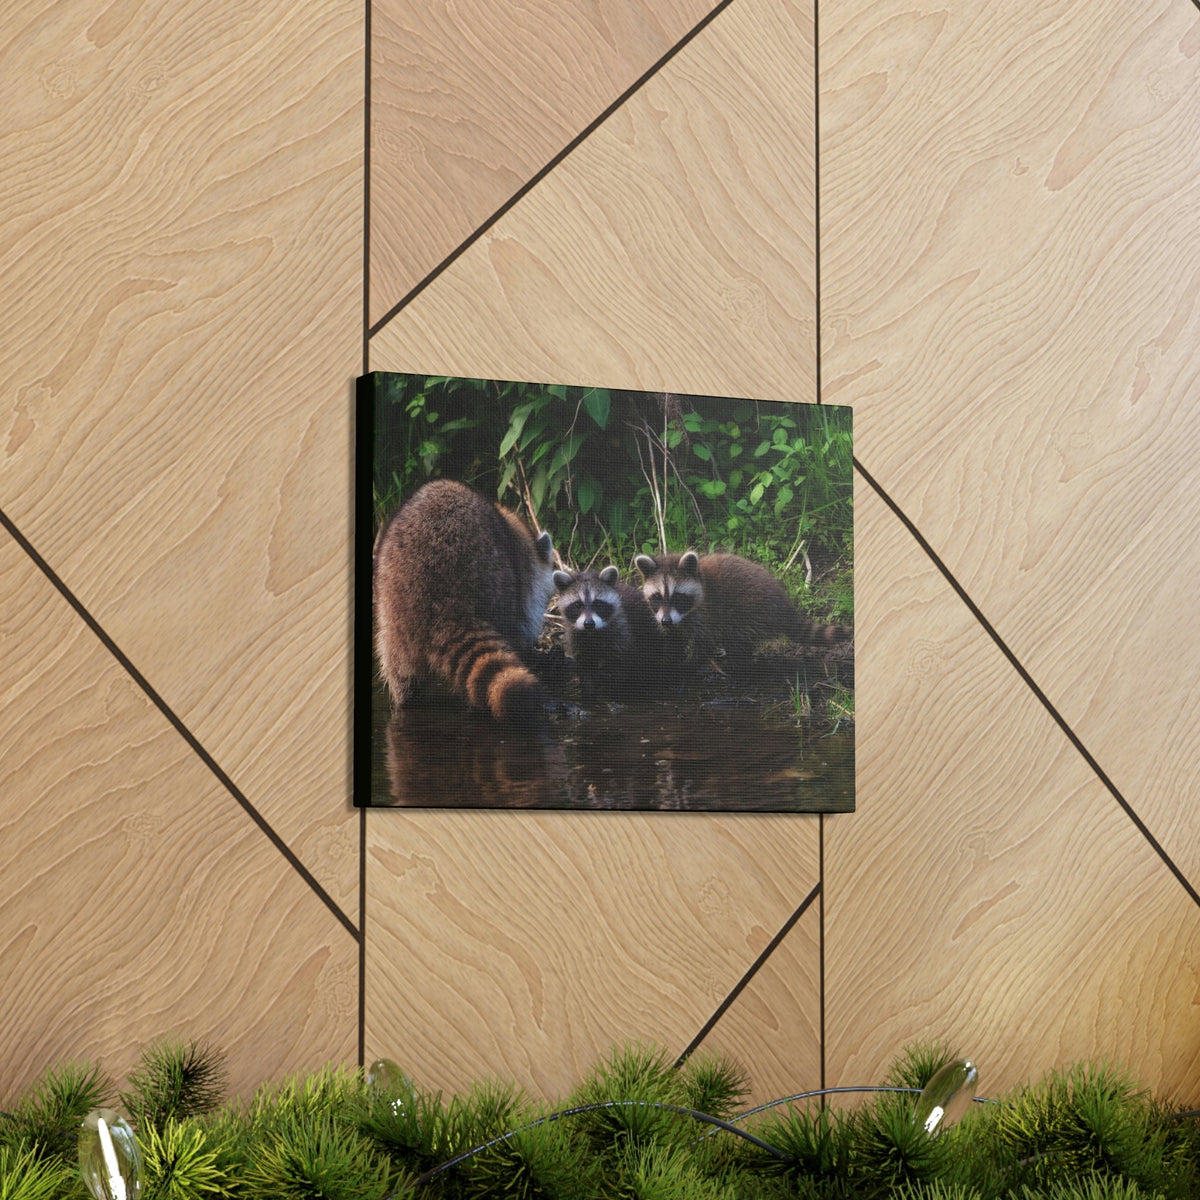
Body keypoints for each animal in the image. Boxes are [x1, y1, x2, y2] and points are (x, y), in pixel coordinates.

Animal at [552, 565, 661, 701]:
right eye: (577, 605)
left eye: (598, 603)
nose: (589, 623)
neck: (592, 633)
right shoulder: (577, 638)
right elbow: (585, 667)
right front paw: (588, 694)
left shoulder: (621, 633)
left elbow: (621, 667)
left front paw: (613, 693)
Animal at [634, 550, 852, 678]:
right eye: (657, 597)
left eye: (678, 597)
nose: (666, 621)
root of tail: (783, 604)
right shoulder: (674, 620)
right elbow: (673, 638)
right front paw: (668, 659)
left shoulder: (706, 615)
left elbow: (705, 643)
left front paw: (686, 666)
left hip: (749, 611)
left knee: (736, 638)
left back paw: (736, 665)